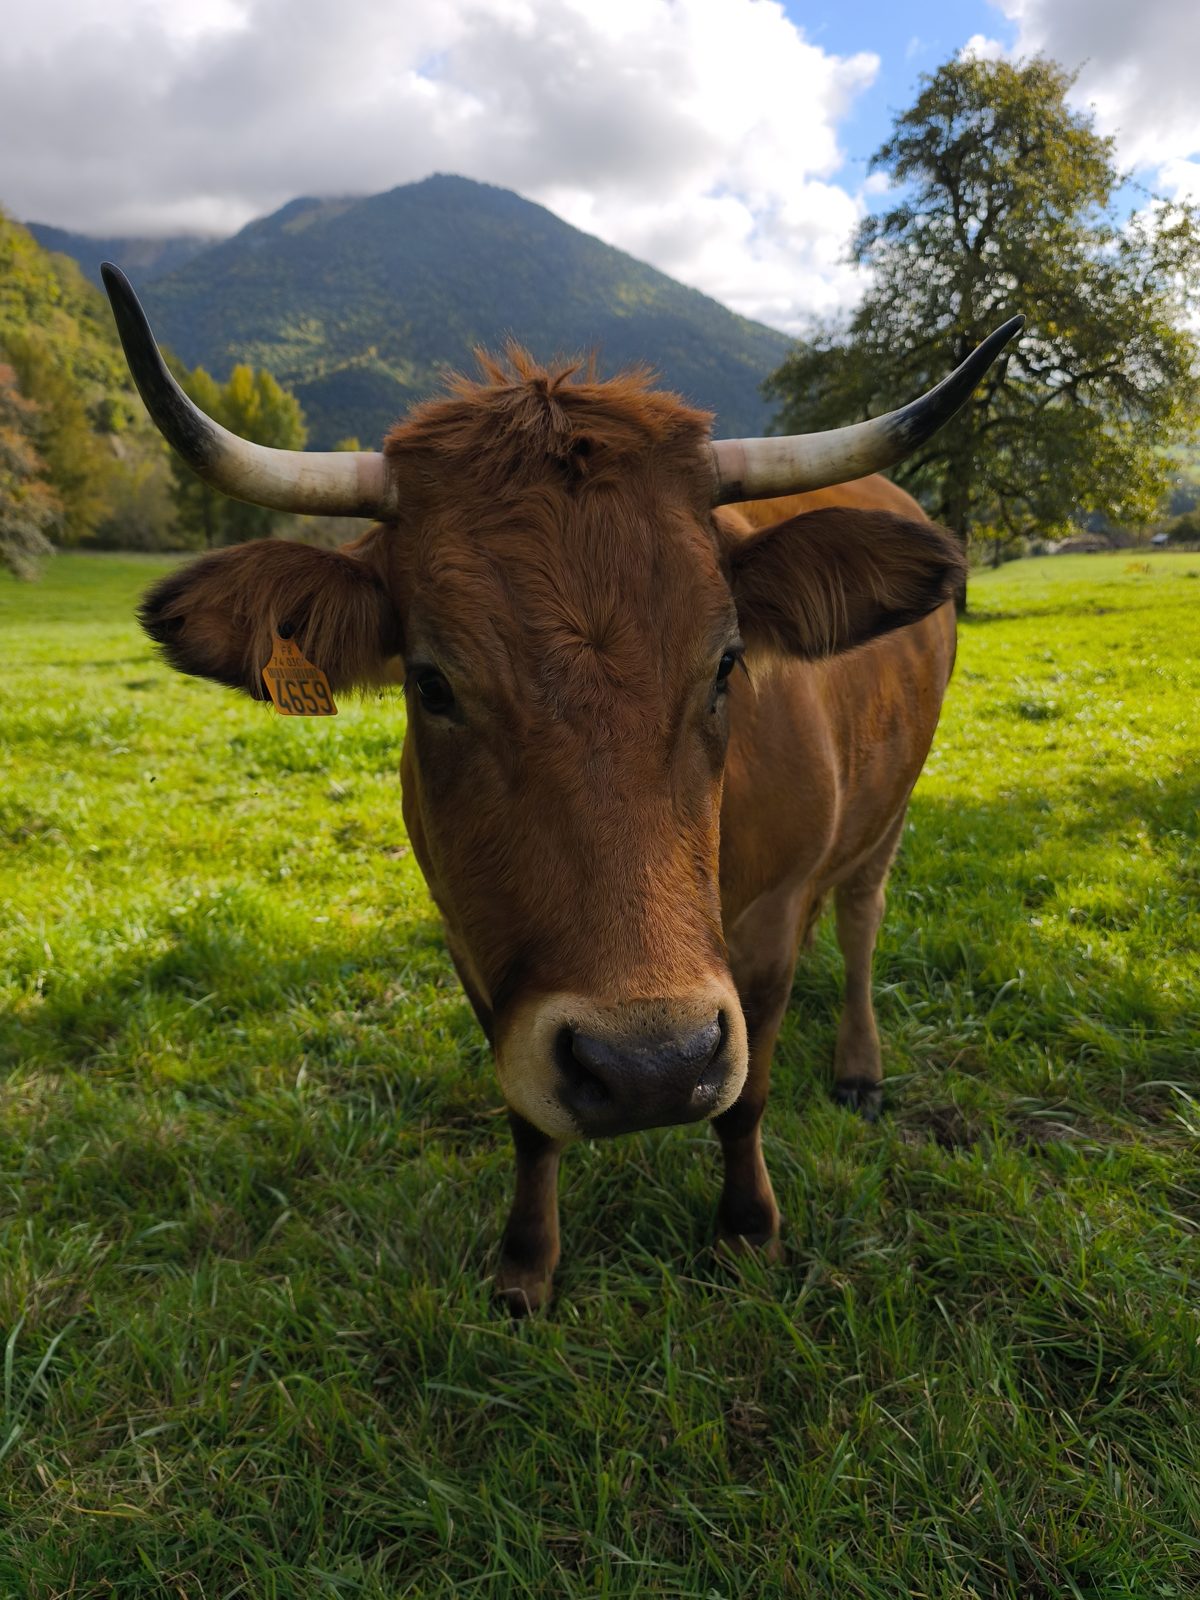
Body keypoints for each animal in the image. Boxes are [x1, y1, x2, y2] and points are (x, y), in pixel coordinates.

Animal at [102, 265, 1020, 1311]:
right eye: (433, 683)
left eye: (727, 663)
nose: (650, 1067)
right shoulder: (477, 938)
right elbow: (530, 1119)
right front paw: (524, 1267)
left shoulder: (773, 918)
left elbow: (745, 1097)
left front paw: (748, 1227)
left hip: (890, 809)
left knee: (862, 917)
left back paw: (859, 1068)